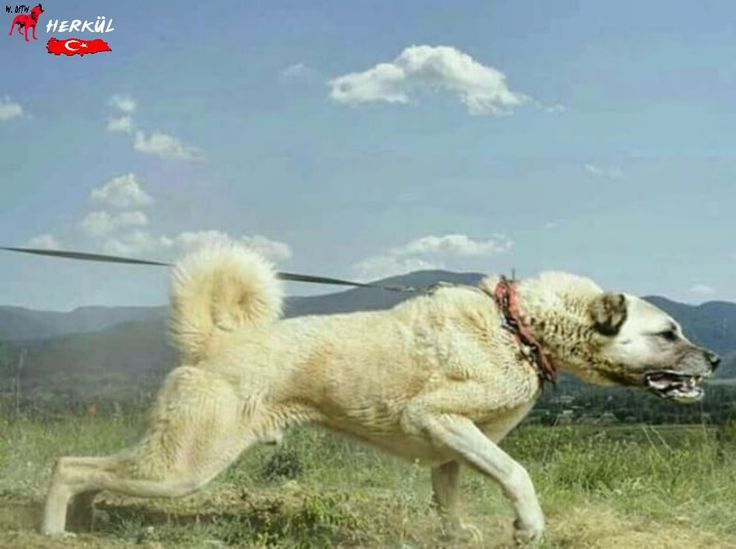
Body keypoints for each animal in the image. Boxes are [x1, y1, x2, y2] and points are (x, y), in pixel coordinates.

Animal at [42, 246, 720, 546]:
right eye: (668, 332)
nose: (715, 360)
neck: (518, 326)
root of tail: (214, 342)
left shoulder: (453, 448)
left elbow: (451, 498)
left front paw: (459, 535)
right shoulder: (438, 418)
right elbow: (517, 474)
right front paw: (528, 526)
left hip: (172, 460)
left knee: (94, 472)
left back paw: (88, 519)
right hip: (185, 464)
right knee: (69, 464)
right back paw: (54, 528)